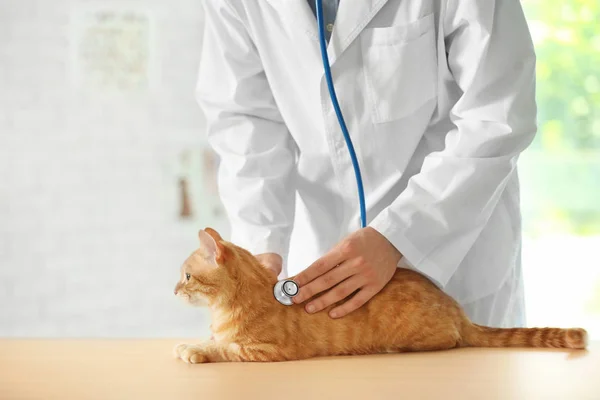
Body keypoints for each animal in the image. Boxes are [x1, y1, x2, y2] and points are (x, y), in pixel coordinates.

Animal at [172, 227, 584, 364]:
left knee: (448, 341)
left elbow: (225, 349)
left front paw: (196, 350)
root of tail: (456, 308)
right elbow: (215, 340)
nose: (174, 289)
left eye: (187, 275)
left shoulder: (267, 351)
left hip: (425, 335)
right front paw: (191, 342)